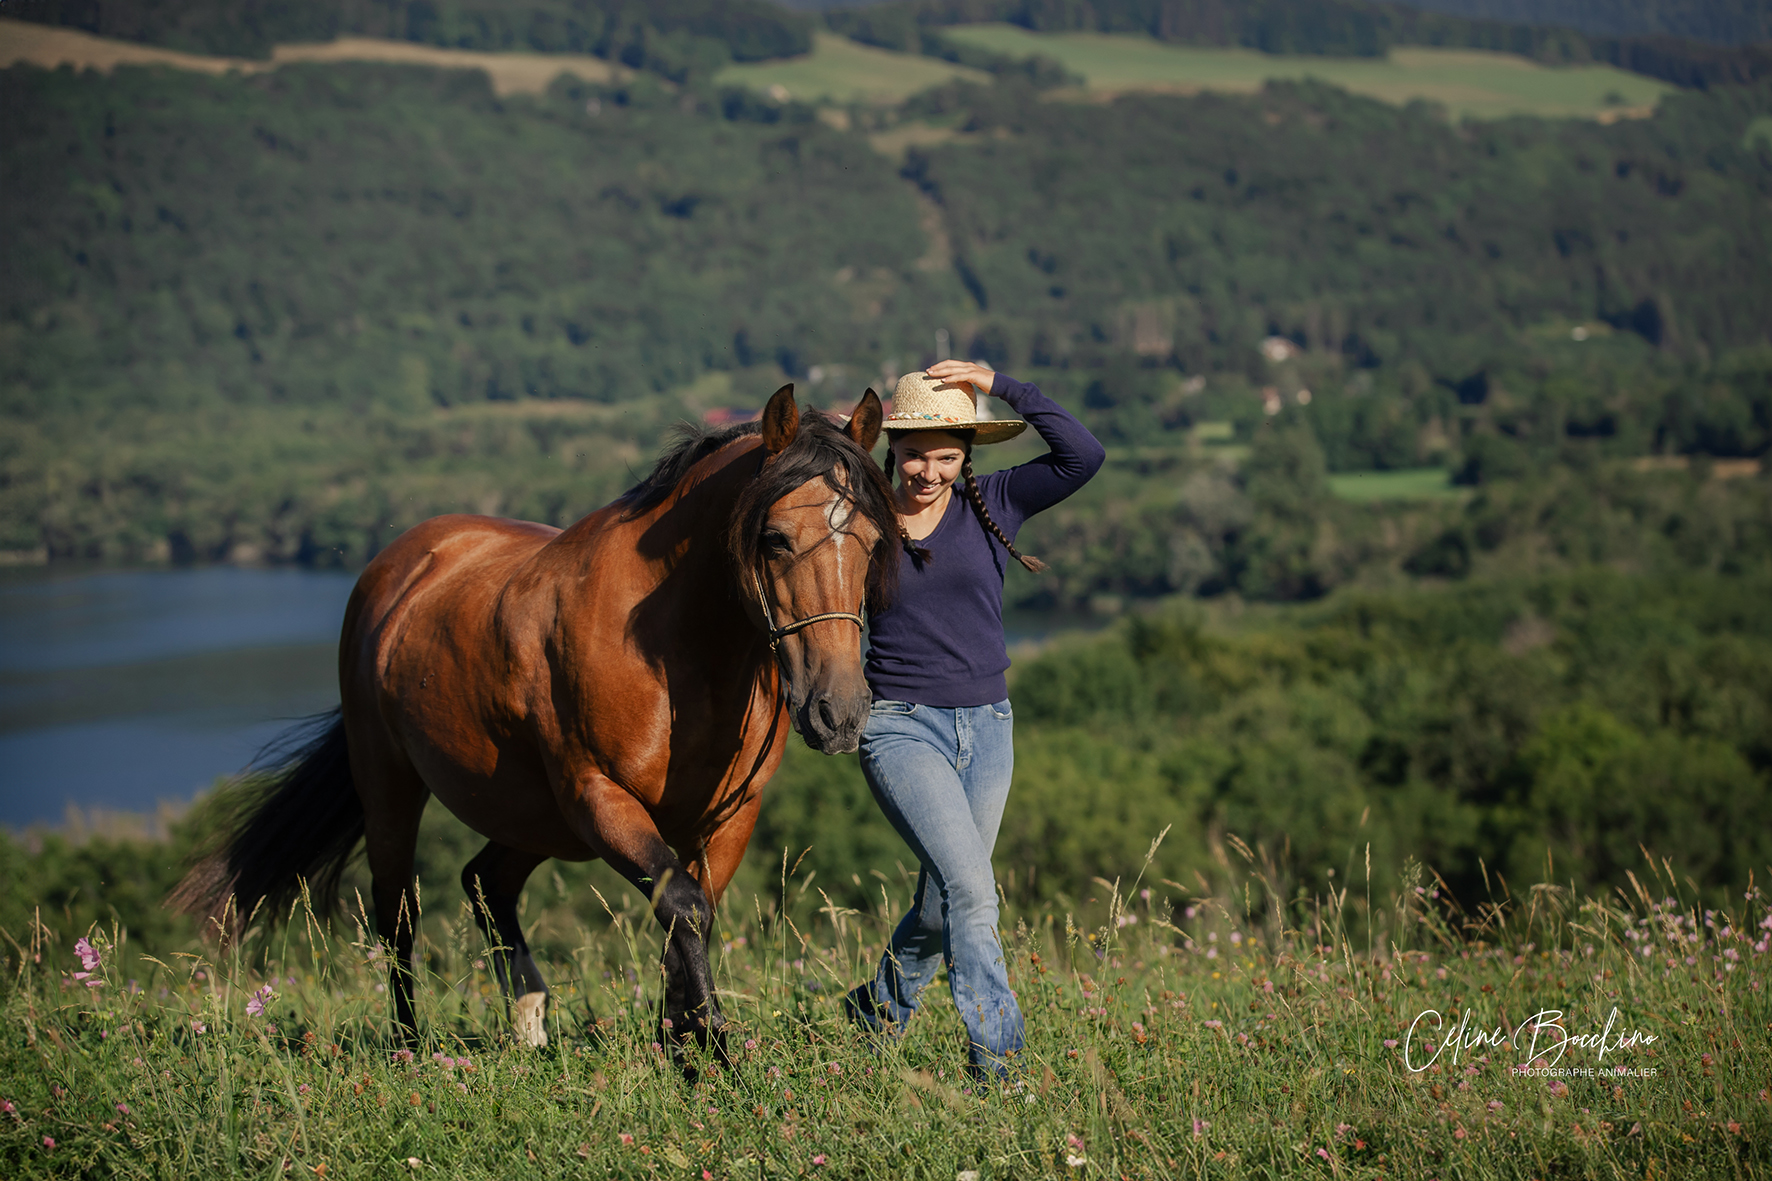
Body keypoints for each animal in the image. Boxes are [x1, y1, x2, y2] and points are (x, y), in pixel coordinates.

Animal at [174, 386, 895, 1055]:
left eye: (872, 543)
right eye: (774, 538)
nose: (837, 712)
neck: (673, 651)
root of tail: (398, 566)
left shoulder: (726, 817)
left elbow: (691, 911)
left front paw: (679, 1035)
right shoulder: (599, 797)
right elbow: (683, 906)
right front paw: (710, 1043)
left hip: (532, 815)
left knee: (484, 881)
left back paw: (529, 1020)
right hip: (394, 786)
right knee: (398, 912)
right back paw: (410, 1040)